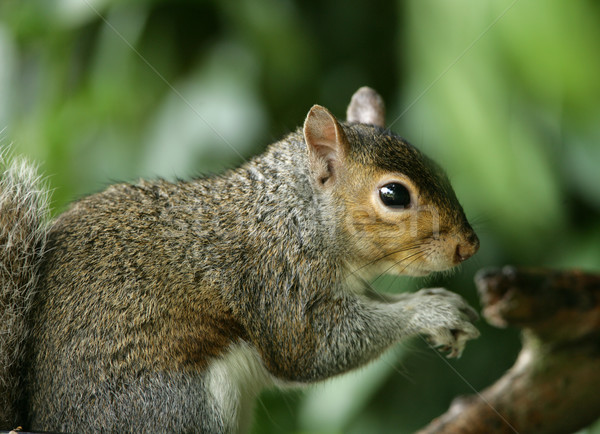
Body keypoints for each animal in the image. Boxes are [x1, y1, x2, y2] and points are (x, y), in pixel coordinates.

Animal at [0, 86, 478, 432]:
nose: (469, 246)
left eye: (440, 168)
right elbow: (316, 351)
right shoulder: (278, 286)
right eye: (393, 194)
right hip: (180, 407)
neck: (293, 217)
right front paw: (432, 310)